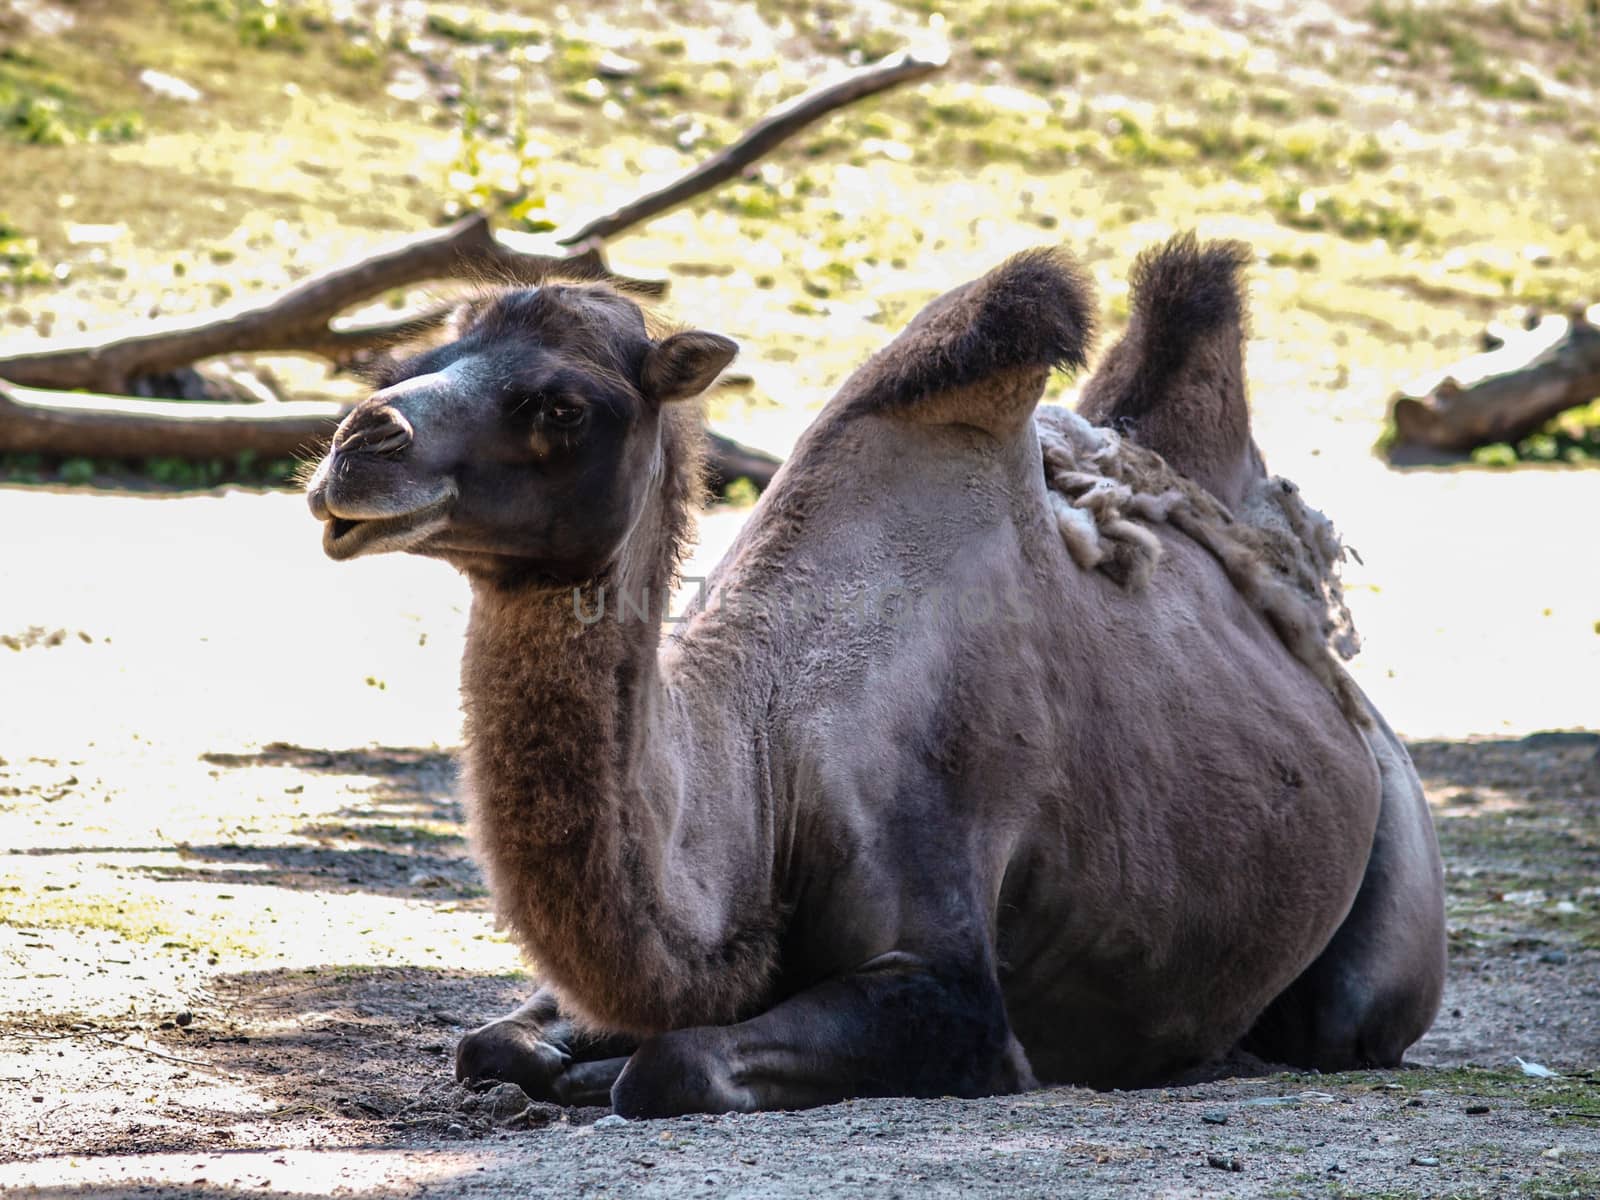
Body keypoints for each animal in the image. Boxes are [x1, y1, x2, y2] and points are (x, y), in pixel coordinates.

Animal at [302, 235, 1452, 1120]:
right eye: (414, 355)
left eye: (561, 406)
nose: (361, 442)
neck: (761, 773)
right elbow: (492, 1041)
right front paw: (561, 1060)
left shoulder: (951, 984)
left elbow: (672, 1066)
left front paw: (607, 1074)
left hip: (1390, 879)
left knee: (1340, 1020)